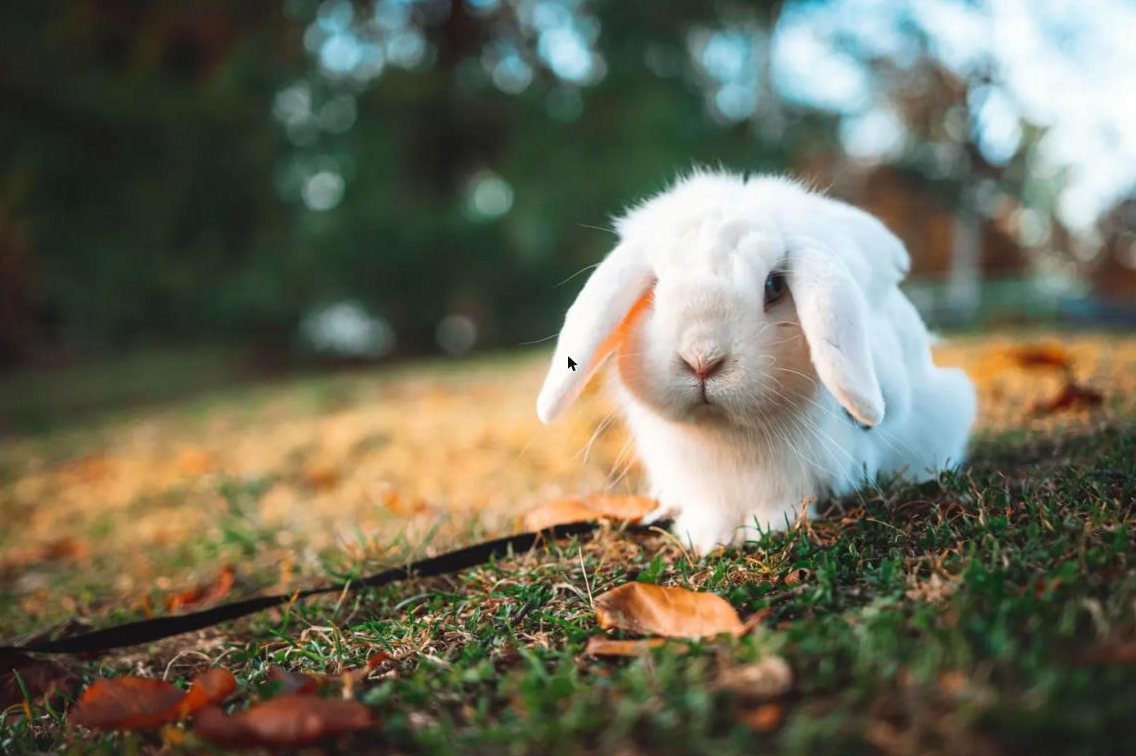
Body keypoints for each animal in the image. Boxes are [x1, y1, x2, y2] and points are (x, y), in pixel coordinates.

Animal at [536, 170, 977, 553]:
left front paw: (767, 529)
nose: (702, 358)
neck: (725, 436)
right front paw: (706, 538)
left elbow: (784, 501)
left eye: (773, 285)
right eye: (655, 287)